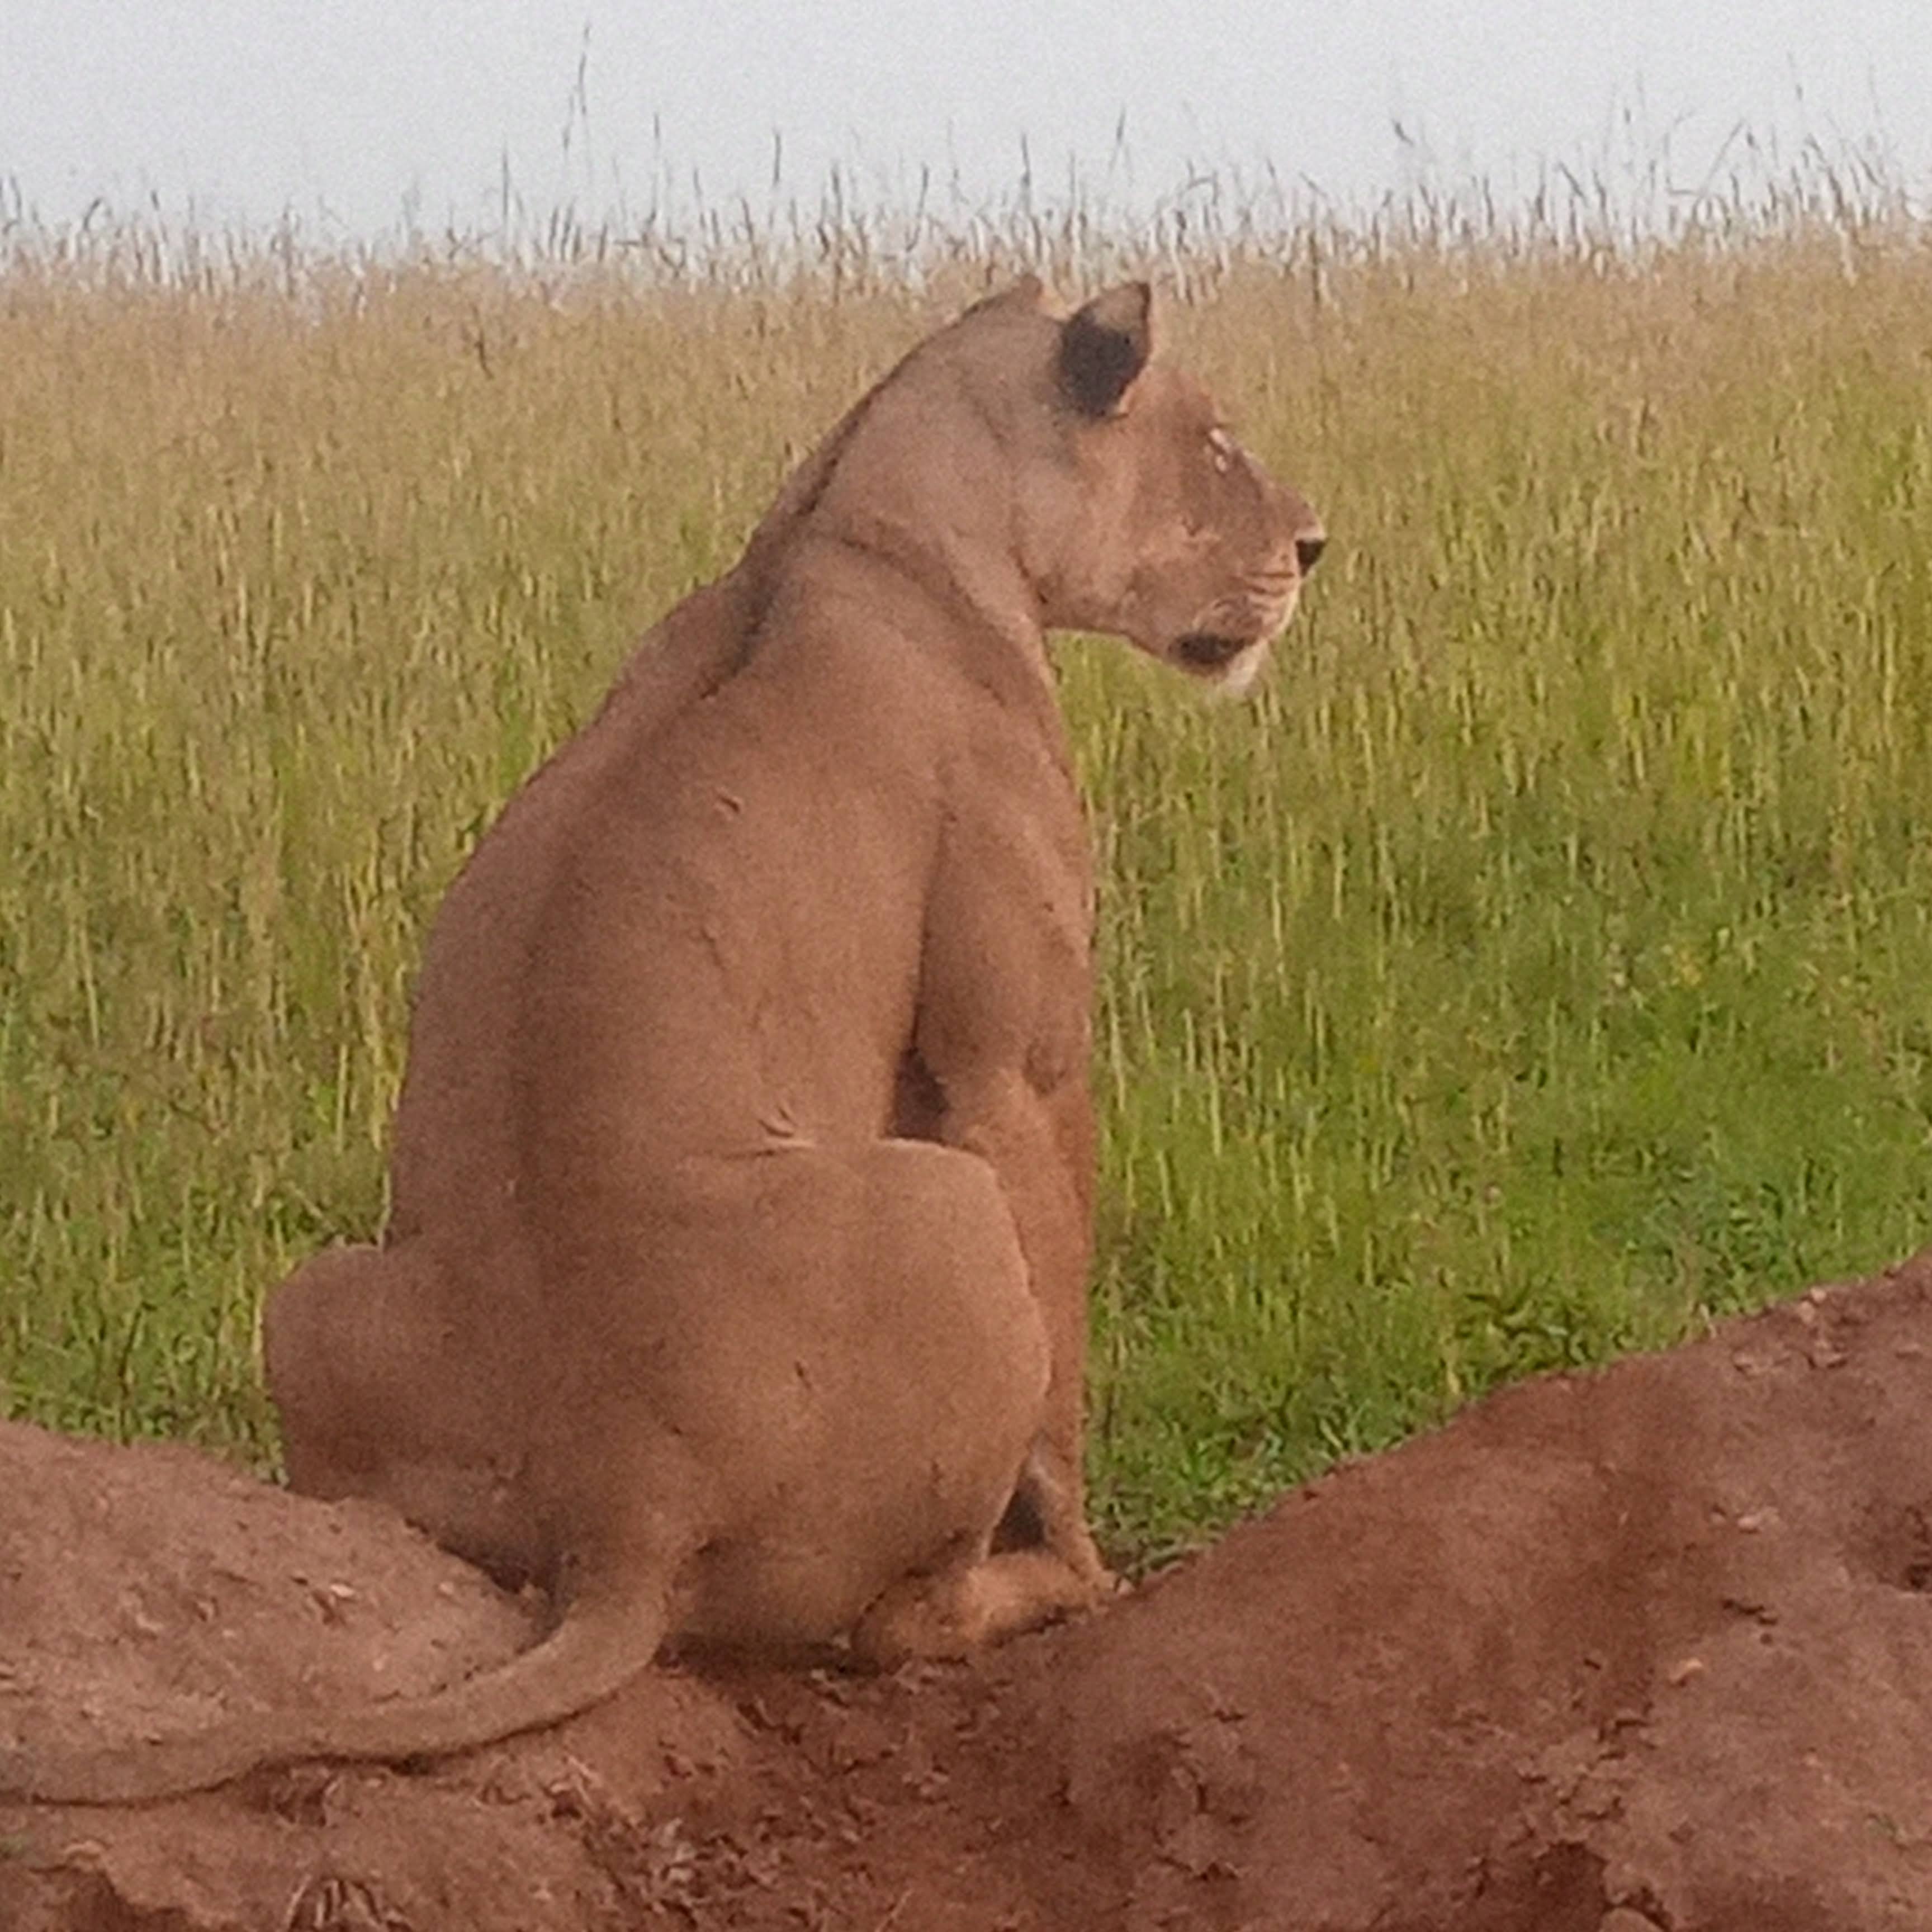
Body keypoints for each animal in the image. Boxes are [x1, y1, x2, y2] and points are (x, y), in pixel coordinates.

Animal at [8, 278, 1323, 1804]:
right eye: (1212, 438)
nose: (1311, 544)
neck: (871, 504)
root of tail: (628, 1511)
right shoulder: (1013, 1061)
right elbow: (1065, 1320)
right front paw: (1087, 1549)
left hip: (312, 1293)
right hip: (942, 1205)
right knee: (896, 1619)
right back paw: (1036, 1585)